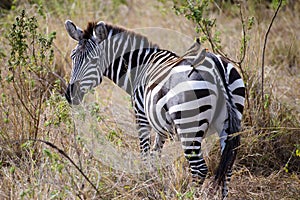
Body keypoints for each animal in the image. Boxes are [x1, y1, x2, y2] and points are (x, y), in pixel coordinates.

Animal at [64, 20, 245, 198]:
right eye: (73, 57)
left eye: (94, 61)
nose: (70, 95)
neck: (139, 68)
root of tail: (216, 65)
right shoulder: (161, 125)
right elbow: (155, 155)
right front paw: (154, 183)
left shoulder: (141, 116)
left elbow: (144, 154)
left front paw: (147, 186)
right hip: (228, 123)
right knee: (227, 167)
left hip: (189, 124)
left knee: (199, 170)